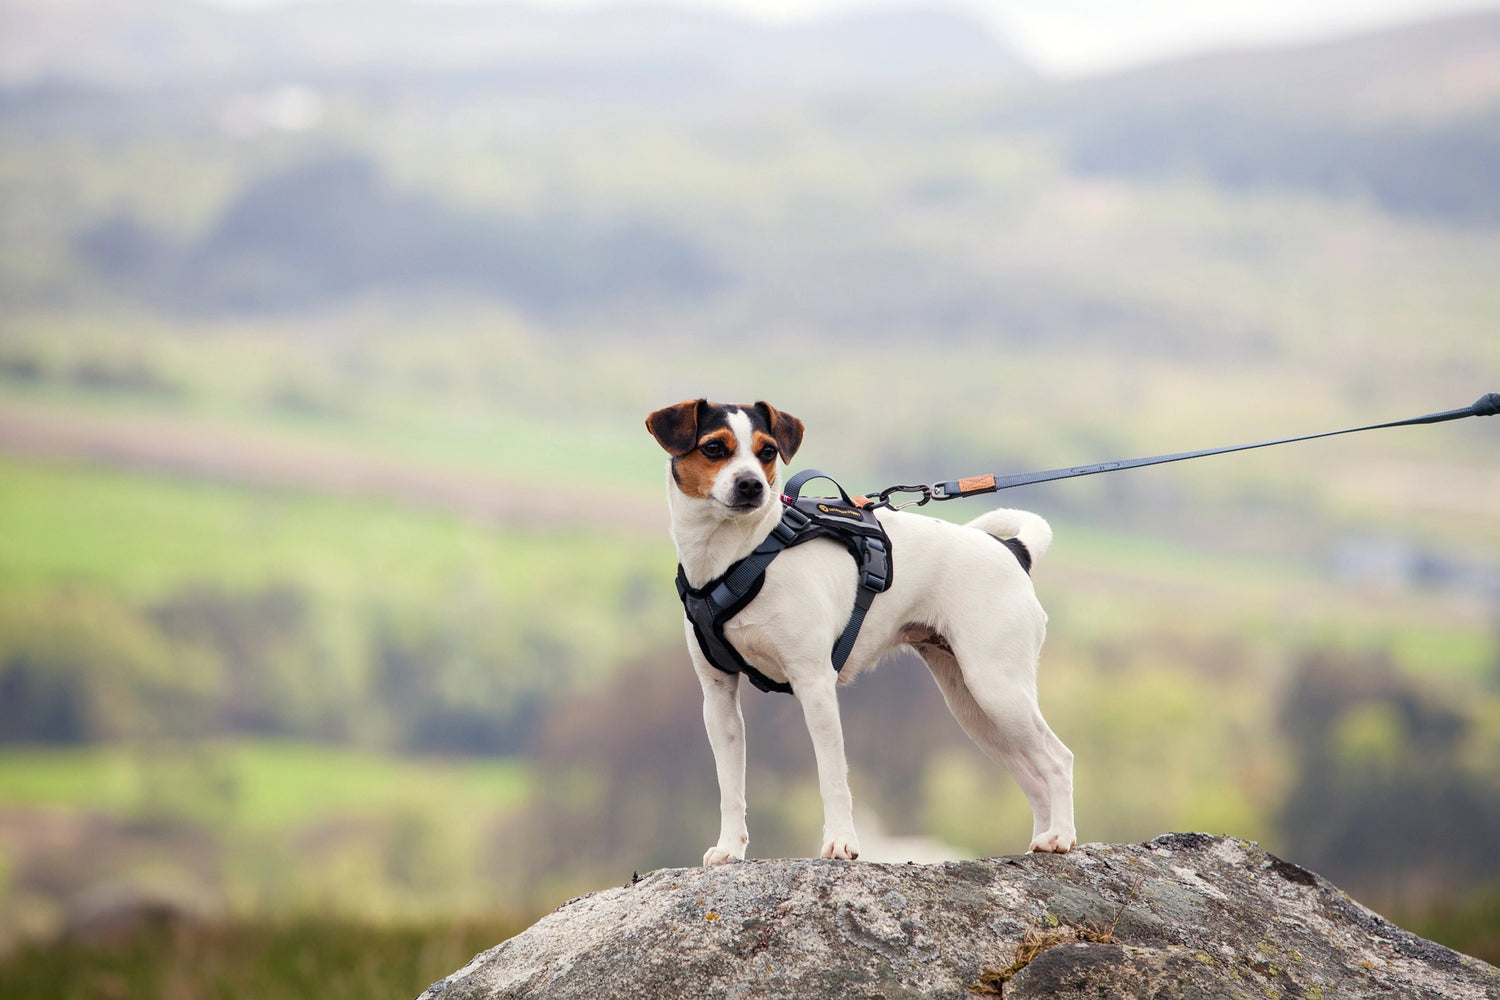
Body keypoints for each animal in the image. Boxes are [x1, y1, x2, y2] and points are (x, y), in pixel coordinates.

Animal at [648, 395, 1080, 863]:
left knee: (1057, 760)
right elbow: (730, 786)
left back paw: (1061, 837)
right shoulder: (718, 694)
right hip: (974, 708)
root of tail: (1013, 550)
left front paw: (841, 842)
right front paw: (730, 848)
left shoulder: (815, 684)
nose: (751, 486)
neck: (740, 554)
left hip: (998, 690)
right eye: (713, 448)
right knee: (1032, 775)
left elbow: (832, 776)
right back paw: (1040, 841)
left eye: (767, 451)